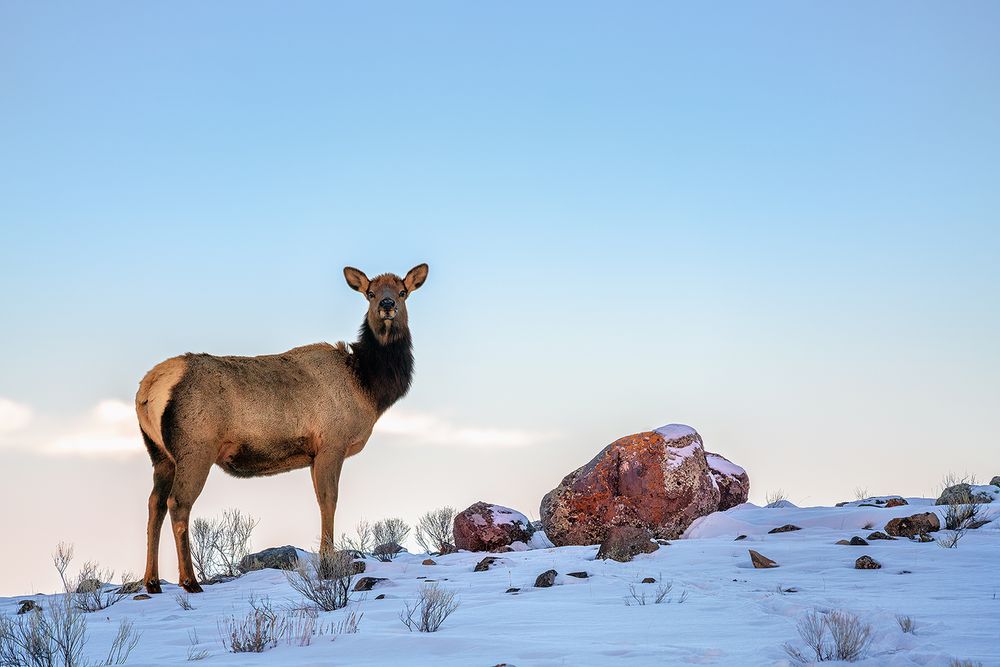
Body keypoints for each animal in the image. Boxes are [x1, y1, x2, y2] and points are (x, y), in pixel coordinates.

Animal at [136, 264, 426, 592]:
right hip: (195, 448)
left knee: (154, 504)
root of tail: (148, 389)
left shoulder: (314, 454)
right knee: (178, 503)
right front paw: (327, 563)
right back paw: (189, 581)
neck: (368, 386)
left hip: (160, 454)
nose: (387, 305)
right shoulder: (331, 443)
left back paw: (152, 581)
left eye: (402, 291)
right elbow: (329, 500)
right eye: (370, 293)